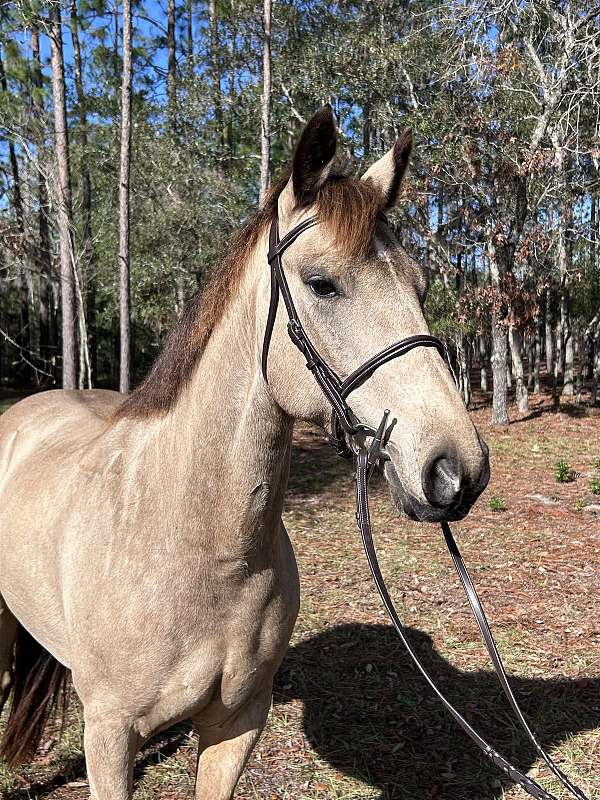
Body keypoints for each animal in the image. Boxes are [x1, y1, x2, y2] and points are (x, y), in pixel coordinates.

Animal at [0, 106, 488, 800]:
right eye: (322, 284)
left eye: (419, 286)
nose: (456, 469)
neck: (192, 545)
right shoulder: (109, 738)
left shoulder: (237, 724)